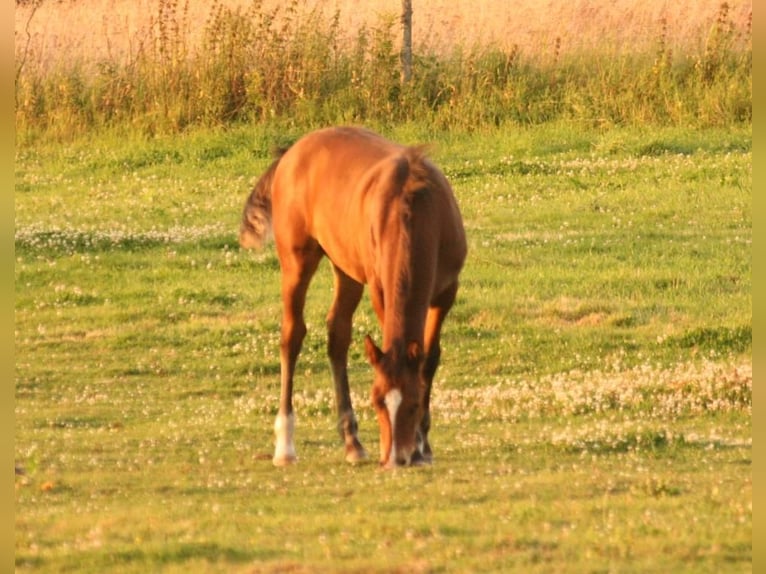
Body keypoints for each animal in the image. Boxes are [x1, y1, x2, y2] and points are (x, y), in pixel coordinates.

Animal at [240, 126, 468, 468]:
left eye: (414, 404)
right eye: (376, 401)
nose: (394, 459)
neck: (415, 207)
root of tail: (293, 152)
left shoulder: (445, 293)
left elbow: (429, 360)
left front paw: (423, 447)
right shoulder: (380, 290)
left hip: (345, 269)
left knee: (337, 336)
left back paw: (352, 441)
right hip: (296, 262)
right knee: (292, 336)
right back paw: (285, 445)